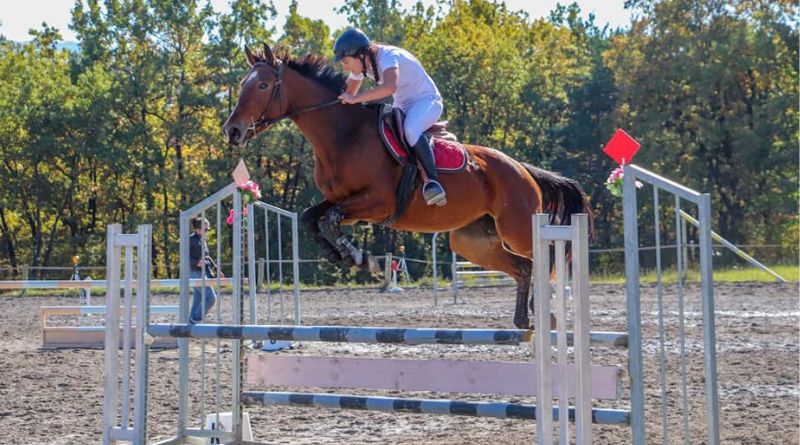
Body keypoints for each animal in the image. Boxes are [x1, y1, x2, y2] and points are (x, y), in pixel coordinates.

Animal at [222, 46, 592, 330]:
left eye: (263, 85)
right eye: (242, 84)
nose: (232, 131)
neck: (343, 135)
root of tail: (523, 169)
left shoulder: (377, 203)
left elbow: (331, 219)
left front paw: (361, 258)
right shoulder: (342, 202)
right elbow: (313, 217)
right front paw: (340, 254)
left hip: (517, 227)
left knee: (542, 260)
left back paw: (546, 314)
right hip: (473, 241)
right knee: (523, 267)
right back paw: (524, 319)